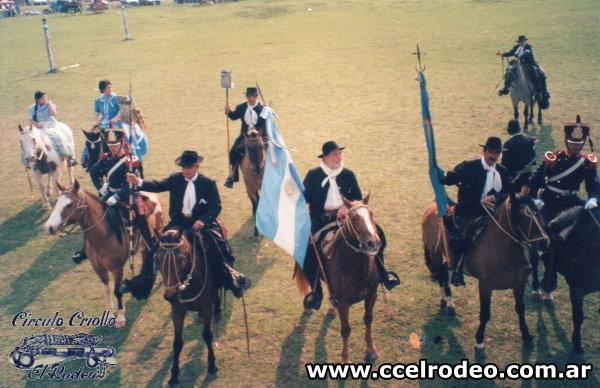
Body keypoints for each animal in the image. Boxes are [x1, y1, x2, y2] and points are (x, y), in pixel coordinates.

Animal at [43, 181, 164, 328]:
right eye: (57, 202)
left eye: (69, 204)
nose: (49, 227)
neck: (103, 236)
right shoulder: (98, 268)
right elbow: (106, 290)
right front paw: (109, 314)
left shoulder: (117, 269)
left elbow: (117, 291)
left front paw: (120, 317)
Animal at [155, 229, 220, 386]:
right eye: (158, 257)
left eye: (180, 258)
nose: (170, 295)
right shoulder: (177, 311)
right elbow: (177, 342)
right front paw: (173, 375)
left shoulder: (207, 308)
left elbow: (207, 336)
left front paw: (212, 366)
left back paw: (218, 310)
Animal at [296, 196, 380, 362]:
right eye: (354, 218)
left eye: (371, 214)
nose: (373, 243)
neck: (356, 268)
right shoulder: (343, 303)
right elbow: (345, 330)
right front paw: (345, 358)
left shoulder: (371, 295)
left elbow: (368, 319)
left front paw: (371, 349)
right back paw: (310, 303)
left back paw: (330, 306)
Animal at [422, 196, 548, 356]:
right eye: (523, 217)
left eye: (540, 213)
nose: (545, 243)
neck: (502, 251)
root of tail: (431, 207)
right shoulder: (485, 287)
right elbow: (485, 314)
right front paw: (479, 341)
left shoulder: (519, 284)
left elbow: (520, 309)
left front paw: (526, 336)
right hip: (435, 253)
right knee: (440, 273)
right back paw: (446, 299)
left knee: (444, 272)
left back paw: (448, 300)